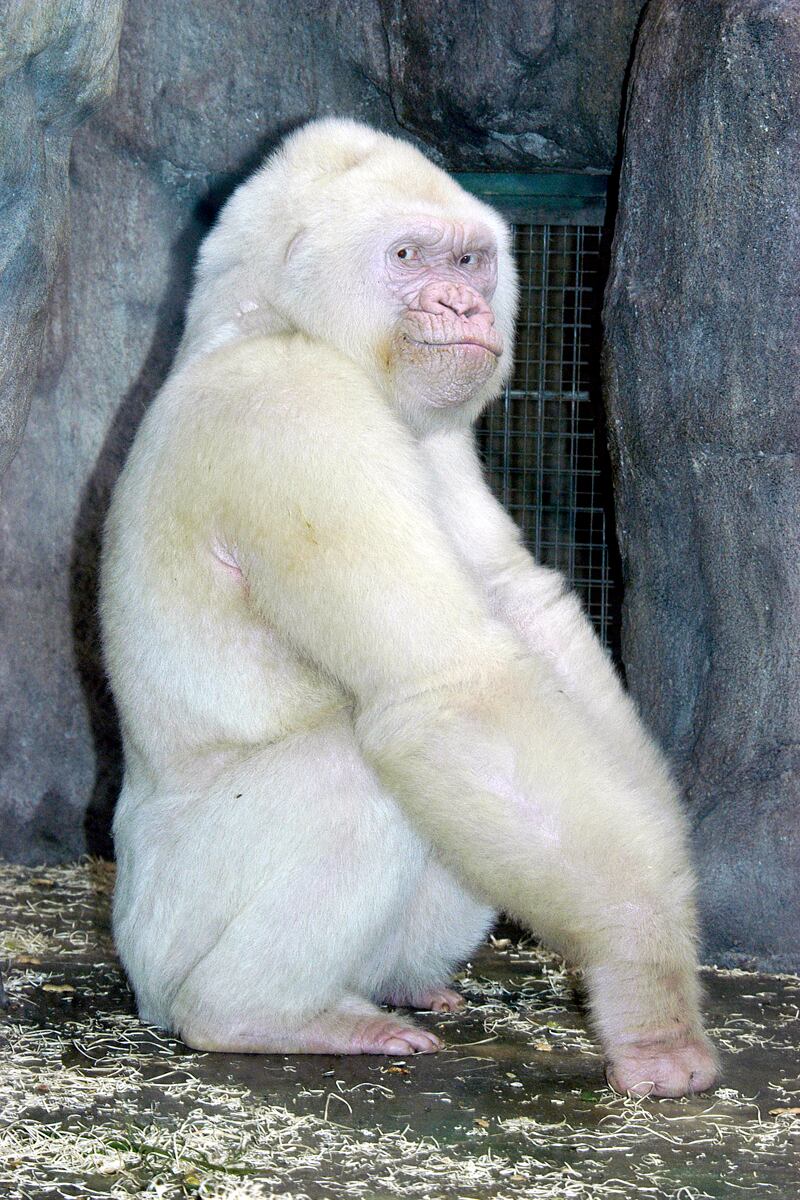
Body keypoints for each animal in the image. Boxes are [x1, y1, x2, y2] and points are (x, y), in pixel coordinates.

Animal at [100, 117, 719, 1097]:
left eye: (468, 260)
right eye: (406, 257)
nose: (463, 307)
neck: (258, 318)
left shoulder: (436, 431)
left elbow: (525, 616)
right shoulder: (292, 412)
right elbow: (450, 685)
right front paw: (643, 969)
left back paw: (403, 986)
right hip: (161, 936)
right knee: (362, 773)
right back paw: (257, 1014)